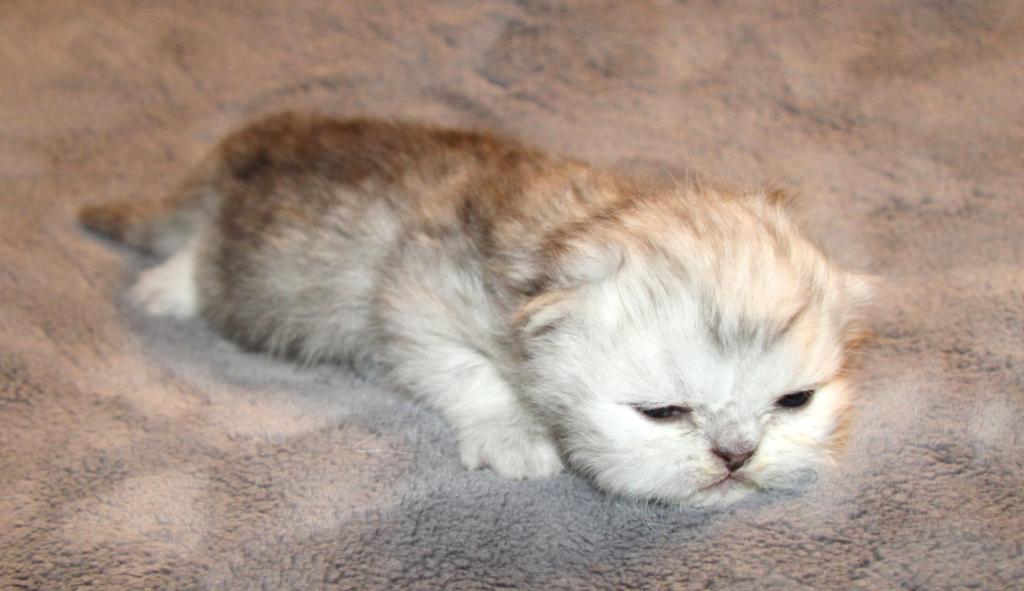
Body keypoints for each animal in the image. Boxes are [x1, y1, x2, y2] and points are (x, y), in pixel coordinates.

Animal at [80, 112, 872, 507]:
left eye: (794, 400)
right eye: (662, 412)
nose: (737, 456)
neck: (568, 229)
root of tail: (244, 142)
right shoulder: (414, 295)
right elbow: (470, 373)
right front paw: (514, 433)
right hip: (249, 265)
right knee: (200, 253)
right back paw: (167, 287)